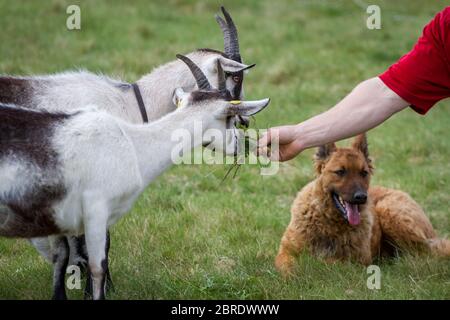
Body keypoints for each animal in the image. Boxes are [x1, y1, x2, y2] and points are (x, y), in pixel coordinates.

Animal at [276, 134, 448, 276]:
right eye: (340, 172)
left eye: (364, 173)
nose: (361, 197)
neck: (328, 221)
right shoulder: (285, 252)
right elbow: (288, 266)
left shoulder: (356, 262)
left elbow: (324, 262)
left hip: (389, 211)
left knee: (424, 253)